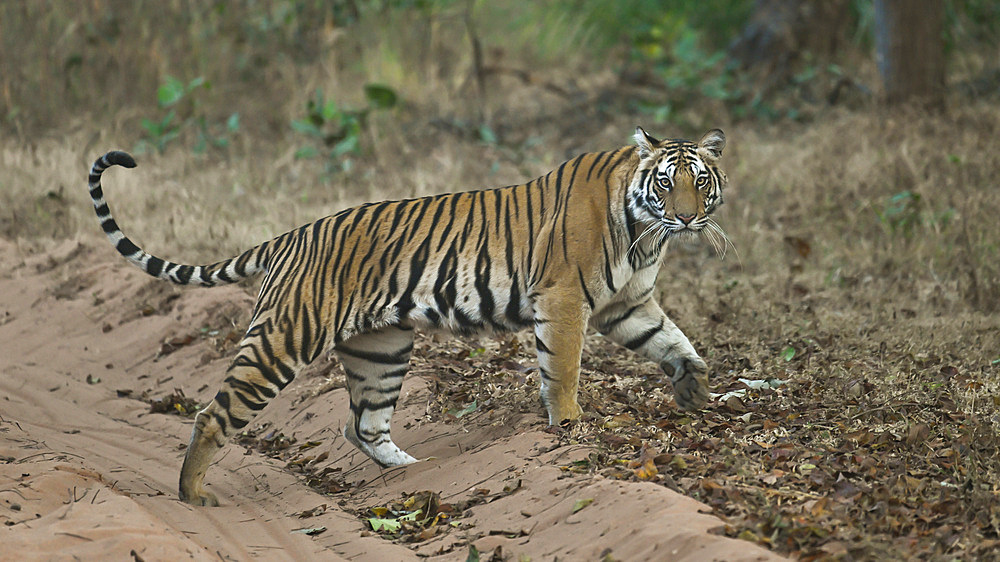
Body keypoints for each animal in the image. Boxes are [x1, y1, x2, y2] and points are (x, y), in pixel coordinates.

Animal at [86, 126, 728, 504]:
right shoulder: (565, 298)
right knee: (213, 415)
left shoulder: (627, 304)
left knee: (361, 424)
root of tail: (291, 236)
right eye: (667, 182)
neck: (646, 234)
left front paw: (696, 389)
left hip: (382, 350)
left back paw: (415, 470)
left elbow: (673, 340)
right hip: (284, 338)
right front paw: (569, 426)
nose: (688, 218)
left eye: (701, 184)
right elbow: (564, 369)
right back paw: (192, 495)